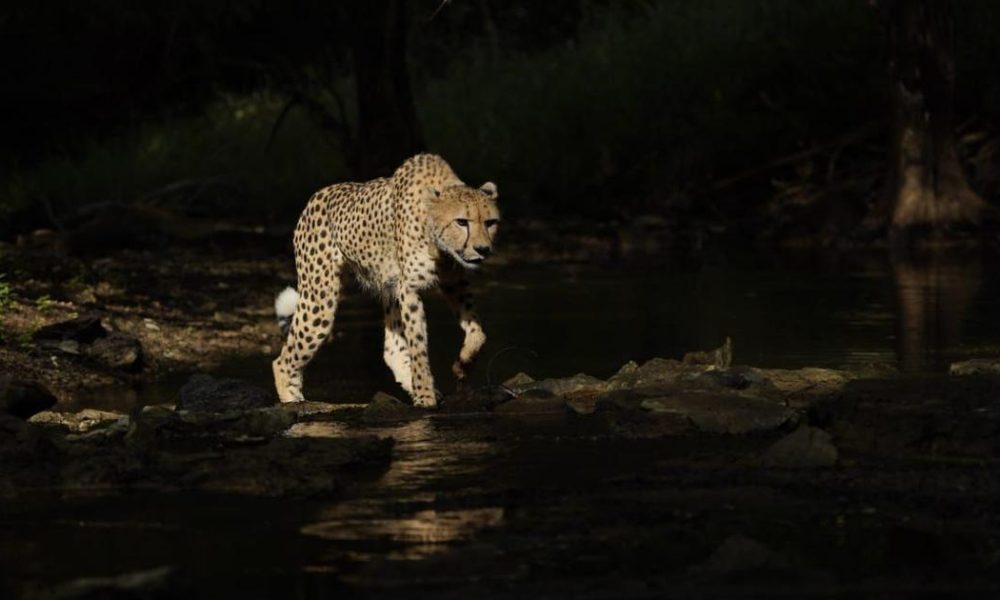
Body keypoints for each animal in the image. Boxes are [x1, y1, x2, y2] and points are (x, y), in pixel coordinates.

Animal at [271, 153, 500, 408]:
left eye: (490, 222)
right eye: (461, 222)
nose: (482, 249)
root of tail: (317, 195)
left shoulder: (453, 281)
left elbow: (478, 331)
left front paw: (463, 365)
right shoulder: (409, 289)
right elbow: (418, 347)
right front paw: (425, 397)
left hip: (388, 289)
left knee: (392, 351)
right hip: (320, 299)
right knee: (282, 360)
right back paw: (292, 400)